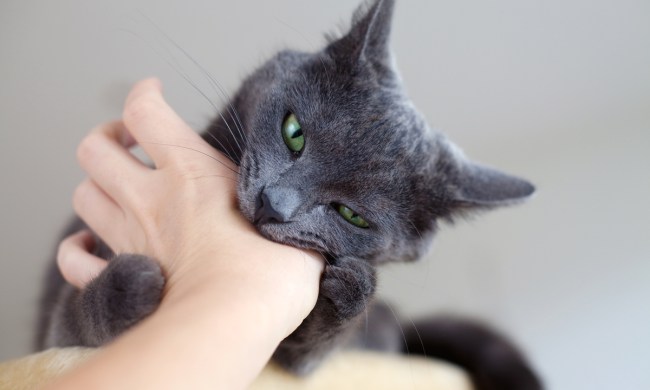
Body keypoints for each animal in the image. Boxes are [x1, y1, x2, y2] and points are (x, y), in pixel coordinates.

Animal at [36, 1, 540, 388]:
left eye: (351, 216)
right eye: (293, 131)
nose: (273, 203)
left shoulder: (296, 360)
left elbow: (305, 356)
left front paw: (352, 292)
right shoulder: (54, 334)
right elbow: (72, 318)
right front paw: (129, 285)